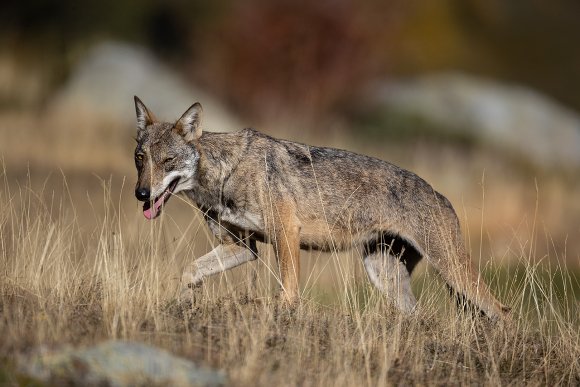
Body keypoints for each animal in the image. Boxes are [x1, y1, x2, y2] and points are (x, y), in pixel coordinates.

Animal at [134, 96, 510, 322]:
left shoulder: (286, 234)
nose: (141, 194)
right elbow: (189, 271)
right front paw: (183, 304)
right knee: (418, 316)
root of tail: (443, 196)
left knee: (502, 311)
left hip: (453, 274)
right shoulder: (242, 247)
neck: (226, 173)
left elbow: (288, 295)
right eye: (141, 159)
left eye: (168, 161)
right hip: (384, 276)